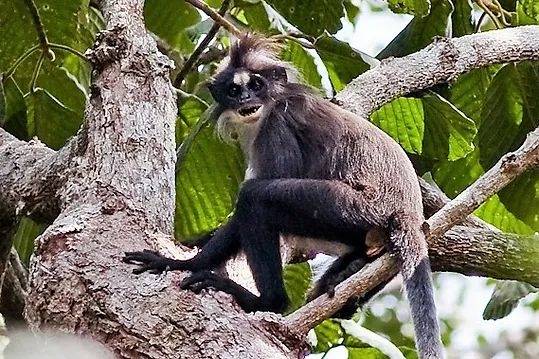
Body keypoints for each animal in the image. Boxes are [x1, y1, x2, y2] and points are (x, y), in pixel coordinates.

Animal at [124, 33, 446, 359]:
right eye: (233, 90)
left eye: (256, 85)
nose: (246, 100)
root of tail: (408, 212)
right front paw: (185, 258)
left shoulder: (278, 124)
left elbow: (261, 190)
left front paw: (183, 264)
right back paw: (352, 268)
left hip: (351, 207)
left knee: (255, 200)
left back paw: (267, 301)